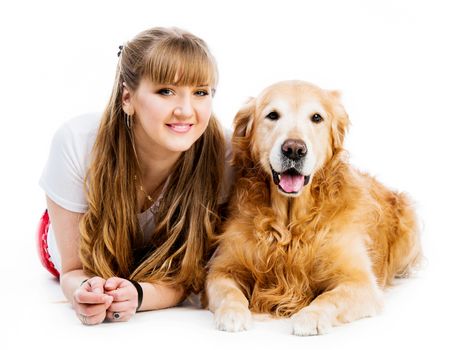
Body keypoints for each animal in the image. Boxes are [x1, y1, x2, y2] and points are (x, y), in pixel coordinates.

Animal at [205, 80, 422, 334]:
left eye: (316, 117)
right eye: (272, 115)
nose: (294, 149)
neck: (290, 224)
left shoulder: (360, 282)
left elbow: (329, 298)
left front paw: (311, 317)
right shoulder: (222, 269)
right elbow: (228, 291)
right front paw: (233, 313)